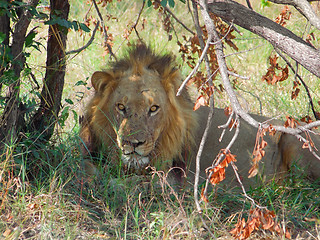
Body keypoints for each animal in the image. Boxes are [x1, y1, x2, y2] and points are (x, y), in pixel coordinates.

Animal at [80, 43, 320, 189]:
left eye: (154, 108)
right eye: (121, 107)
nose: (133, 143)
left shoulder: (172, 180)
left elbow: (129, 184)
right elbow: (87, 167)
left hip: (294, 139)